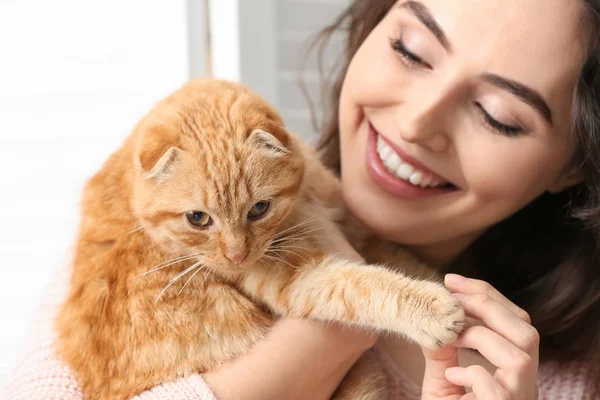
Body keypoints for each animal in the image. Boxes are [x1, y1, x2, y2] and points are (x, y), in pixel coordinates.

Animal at [56, 79, 466, 400]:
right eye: (197, 218)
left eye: (259, 208)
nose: (238, 256)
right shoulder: (297, 278)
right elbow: (365, 285)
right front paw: (434, 311)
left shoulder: (355, 228)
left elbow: (402, 259)